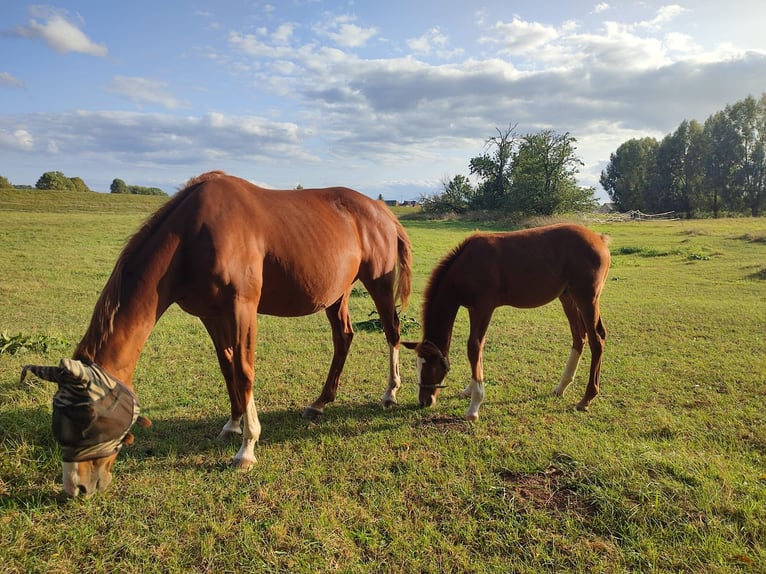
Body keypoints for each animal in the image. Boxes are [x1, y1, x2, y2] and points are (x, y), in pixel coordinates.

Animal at [21, 171, 412, 500]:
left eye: (88, 421)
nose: (76, 487)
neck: (192, 237)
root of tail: (380, 209)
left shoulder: (242, 309)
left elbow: (244, 370)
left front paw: (247, 449)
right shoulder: (211, 316)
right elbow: (227, 369)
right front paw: (233, 424)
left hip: (378, 283)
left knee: (392, 331)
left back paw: (390, 392)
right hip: (336, 294)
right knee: (343, 337)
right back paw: (320, 402)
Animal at [402, 225, 612, 424]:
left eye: (430, 367)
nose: (423, 401)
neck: (468, 264)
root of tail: (599, 239)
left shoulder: (484, 307)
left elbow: (474, 347)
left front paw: (474, 407)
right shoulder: (472, 308)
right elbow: (476, 349)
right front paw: (470, 390)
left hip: (587, 298)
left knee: (596, 340)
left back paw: (586, 398)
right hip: (567, 296)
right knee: (579, 336)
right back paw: (561, 387)